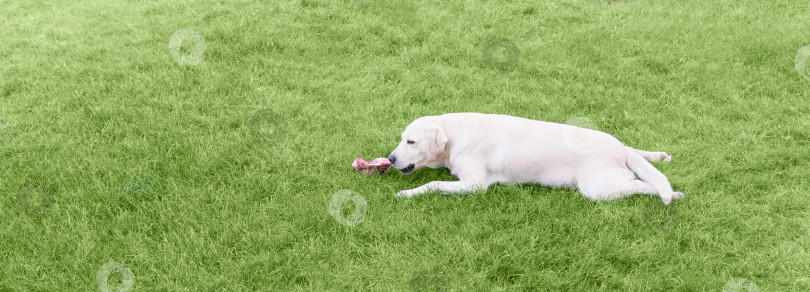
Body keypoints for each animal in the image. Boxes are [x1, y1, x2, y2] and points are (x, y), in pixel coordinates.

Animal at [386, 112, 680, 205]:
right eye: (401, 138)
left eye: (411, 142)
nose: (389, 159)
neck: (455, 135)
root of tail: (619, 151)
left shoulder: (474, 184)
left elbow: (433, 184)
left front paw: (407, 193)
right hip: (621, 156)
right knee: (640, 156)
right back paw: (659, 156)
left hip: (598, 189)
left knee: (640, 185)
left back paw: (671, 194)